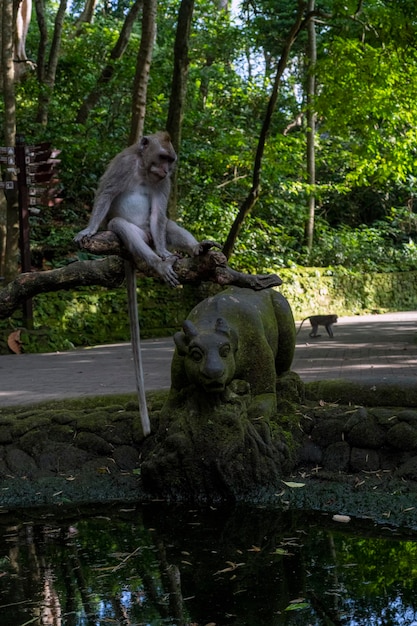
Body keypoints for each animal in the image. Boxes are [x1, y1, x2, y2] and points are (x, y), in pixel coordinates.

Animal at [73, 132, 213, 434]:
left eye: (170, 160)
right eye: (163, 157)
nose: (166, 169)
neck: (144, 169)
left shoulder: (164, 183)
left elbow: (160, 213)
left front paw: (167, 251)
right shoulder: (122, 164)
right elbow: (106, 193)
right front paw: (89, 228)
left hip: (150, 231)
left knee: (165, 225)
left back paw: (186, 251)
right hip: (129, 235)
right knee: (120, 225)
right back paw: (156, 263)